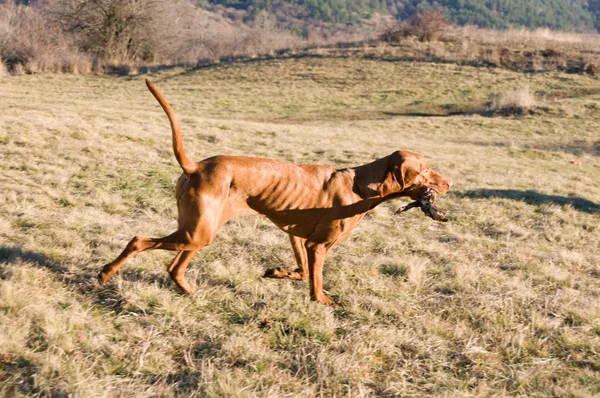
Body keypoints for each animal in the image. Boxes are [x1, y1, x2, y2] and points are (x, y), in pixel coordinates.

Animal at [98, 78, 452, 304]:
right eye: (425, 171)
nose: (450, 183)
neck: (359, 185)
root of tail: (196, 166)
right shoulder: (318, 245)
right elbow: (316, 280)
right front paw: (322, 302)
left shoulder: (298, 238)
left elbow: (302, 272)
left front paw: (277, 272)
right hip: (196, 233)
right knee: (138, 240)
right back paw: (106, 273)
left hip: (201, 231)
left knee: (173, 267)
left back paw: (188, 292)